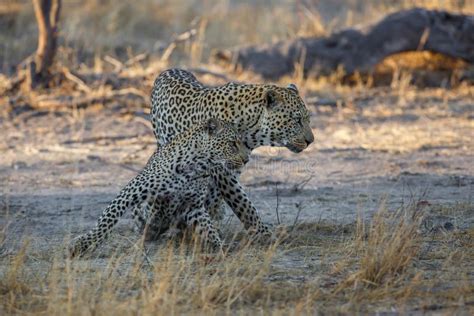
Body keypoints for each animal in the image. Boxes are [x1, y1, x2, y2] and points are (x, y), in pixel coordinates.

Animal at [70, 118, 250, 256]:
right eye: (232, 143)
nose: (246, 160)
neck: (198, 165)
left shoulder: (194, 207)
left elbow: (208, 228)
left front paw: (219, 245)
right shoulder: (132, 189)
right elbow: (108, 218)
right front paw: (84, 243)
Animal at [139, 69, 314, 241]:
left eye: (307, 119)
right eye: (297, 120)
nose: (311, 141)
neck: (251, 130)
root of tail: (170, 70)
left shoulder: (234, 166)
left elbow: (217, 200)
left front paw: (211, 224)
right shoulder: (223, 171)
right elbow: (243, 204)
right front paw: (264, 234)